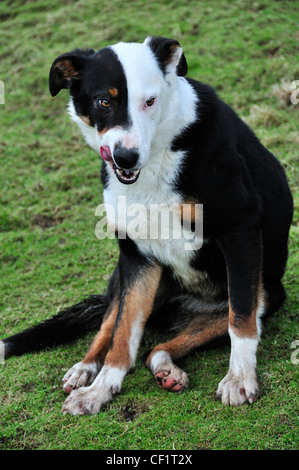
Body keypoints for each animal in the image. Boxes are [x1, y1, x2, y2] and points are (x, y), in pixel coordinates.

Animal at [1, 38, 294, 416]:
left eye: (150, 101)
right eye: (104, 101)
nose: (126, 157)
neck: (158, 152)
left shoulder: (239, 229)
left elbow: (241, 320)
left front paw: (240, 379)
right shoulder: (137, 256)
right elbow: (122, 336)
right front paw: (99, 391)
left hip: (267, 292)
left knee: (165, 345)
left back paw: (167, 368)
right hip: (122, 275)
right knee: (110, 323)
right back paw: (86, 370)